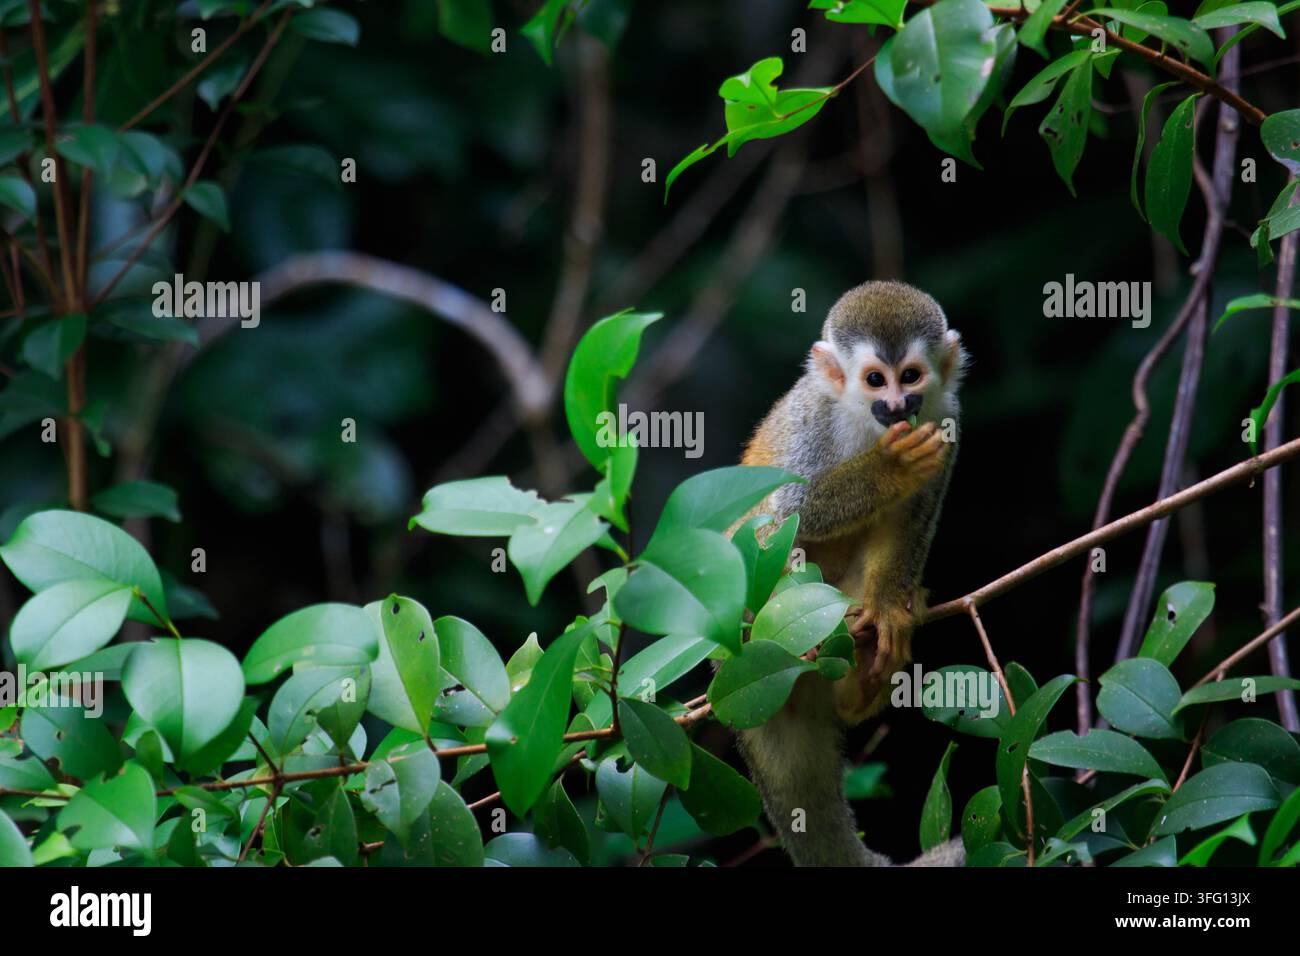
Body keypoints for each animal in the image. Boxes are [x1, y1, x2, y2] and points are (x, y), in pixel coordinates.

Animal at [730, 280, 967, 867]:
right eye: (875, 380)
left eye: (911, 376)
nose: (897, 405)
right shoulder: (813, 419)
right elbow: (788, 508)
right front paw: (891, 468)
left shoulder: (947, 414)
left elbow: (912, 517)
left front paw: (887, 611)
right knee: (763, 527)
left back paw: (864, 674)